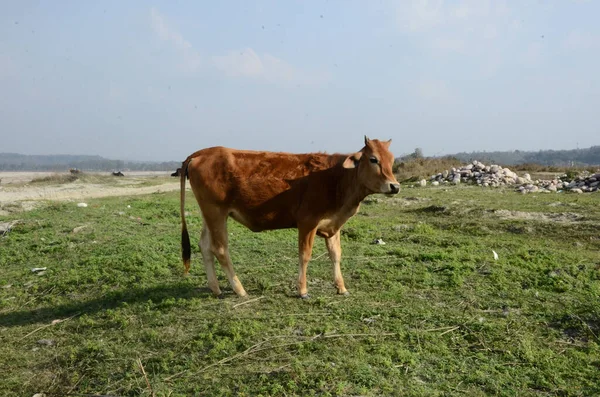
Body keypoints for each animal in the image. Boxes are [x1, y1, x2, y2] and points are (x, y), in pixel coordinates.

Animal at [180, 135, 400, 296]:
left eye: (391, 160)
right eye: (373, 159)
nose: (395, 186)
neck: (336, 179)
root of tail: (204, 152)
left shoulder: (333, 224)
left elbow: (336, 254)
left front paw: (341, 287)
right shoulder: (307, 222)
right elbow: (304, 255)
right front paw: (302, 290)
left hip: (209, 214)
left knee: (205, 246)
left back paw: (216, 289)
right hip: (216, 212)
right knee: (220, 249)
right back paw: (239, 290)